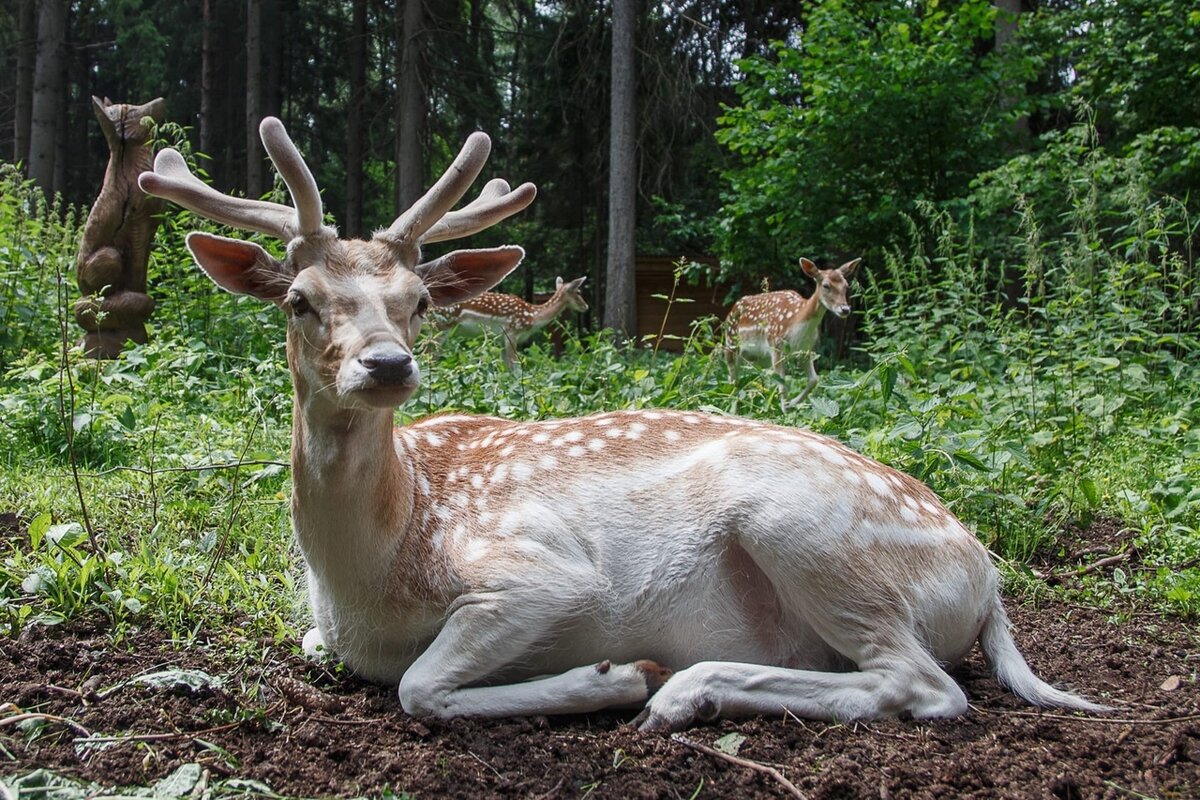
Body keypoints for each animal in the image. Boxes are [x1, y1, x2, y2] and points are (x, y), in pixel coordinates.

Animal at [439, 272, 592, 367]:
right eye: (579, 292)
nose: (586, 306)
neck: (533, 316)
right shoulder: (512, 331)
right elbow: (515, 364)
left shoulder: (501, 339)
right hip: (444, 324)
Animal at [720, 256, 864, 410]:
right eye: (826, 285)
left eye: (846, 286)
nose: (845, 309)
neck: (797, 323)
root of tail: (730, 311)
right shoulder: (776, 346)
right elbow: (783, 386)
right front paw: (786, 408)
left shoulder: (806, 350)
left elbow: (814, 379)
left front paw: (793, 403)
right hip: (731, 344)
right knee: (732, 380)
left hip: (758, 357)